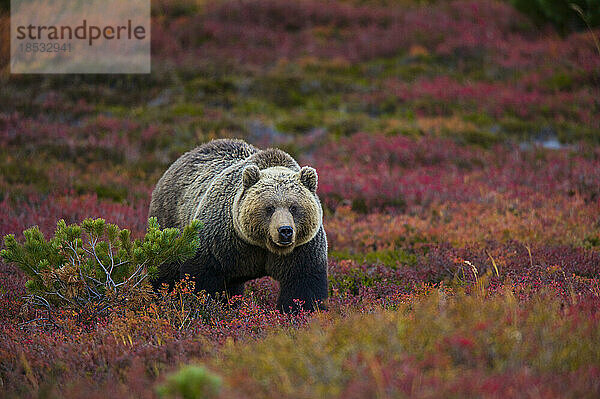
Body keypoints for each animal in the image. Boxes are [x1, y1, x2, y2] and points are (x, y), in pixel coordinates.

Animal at [150, 140, 328, 312]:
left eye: (293, 207)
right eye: (269, 207)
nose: (285, 231)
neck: (262, 245)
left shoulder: (303, 249)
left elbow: (303, 286)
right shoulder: (220, 242)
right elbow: (202, 279)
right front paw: (201, 306)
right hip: (170, 223)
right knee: (166, 269)